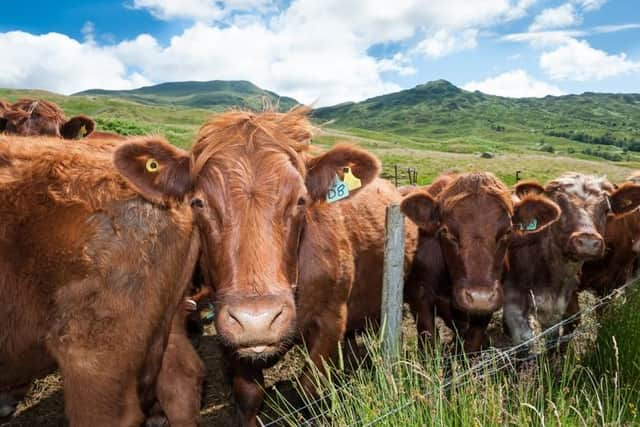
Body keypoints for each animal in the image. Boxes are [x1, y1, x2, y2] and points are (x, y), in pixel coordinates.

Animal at [112, 108, 418, 427]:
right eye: (198, 202)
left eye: (300, 200)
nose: (257, 320)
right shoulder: (231, 334)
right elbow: (249, 395)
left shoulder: (331, 319)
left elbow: (310, 390)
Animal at [402, 172, 564, 352]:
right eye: (446, 231)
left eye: (507, 231)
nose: (480, 298)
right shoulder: (420, 299)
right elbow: (428, 343)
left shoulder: (485, 310)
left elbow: (472, 343)